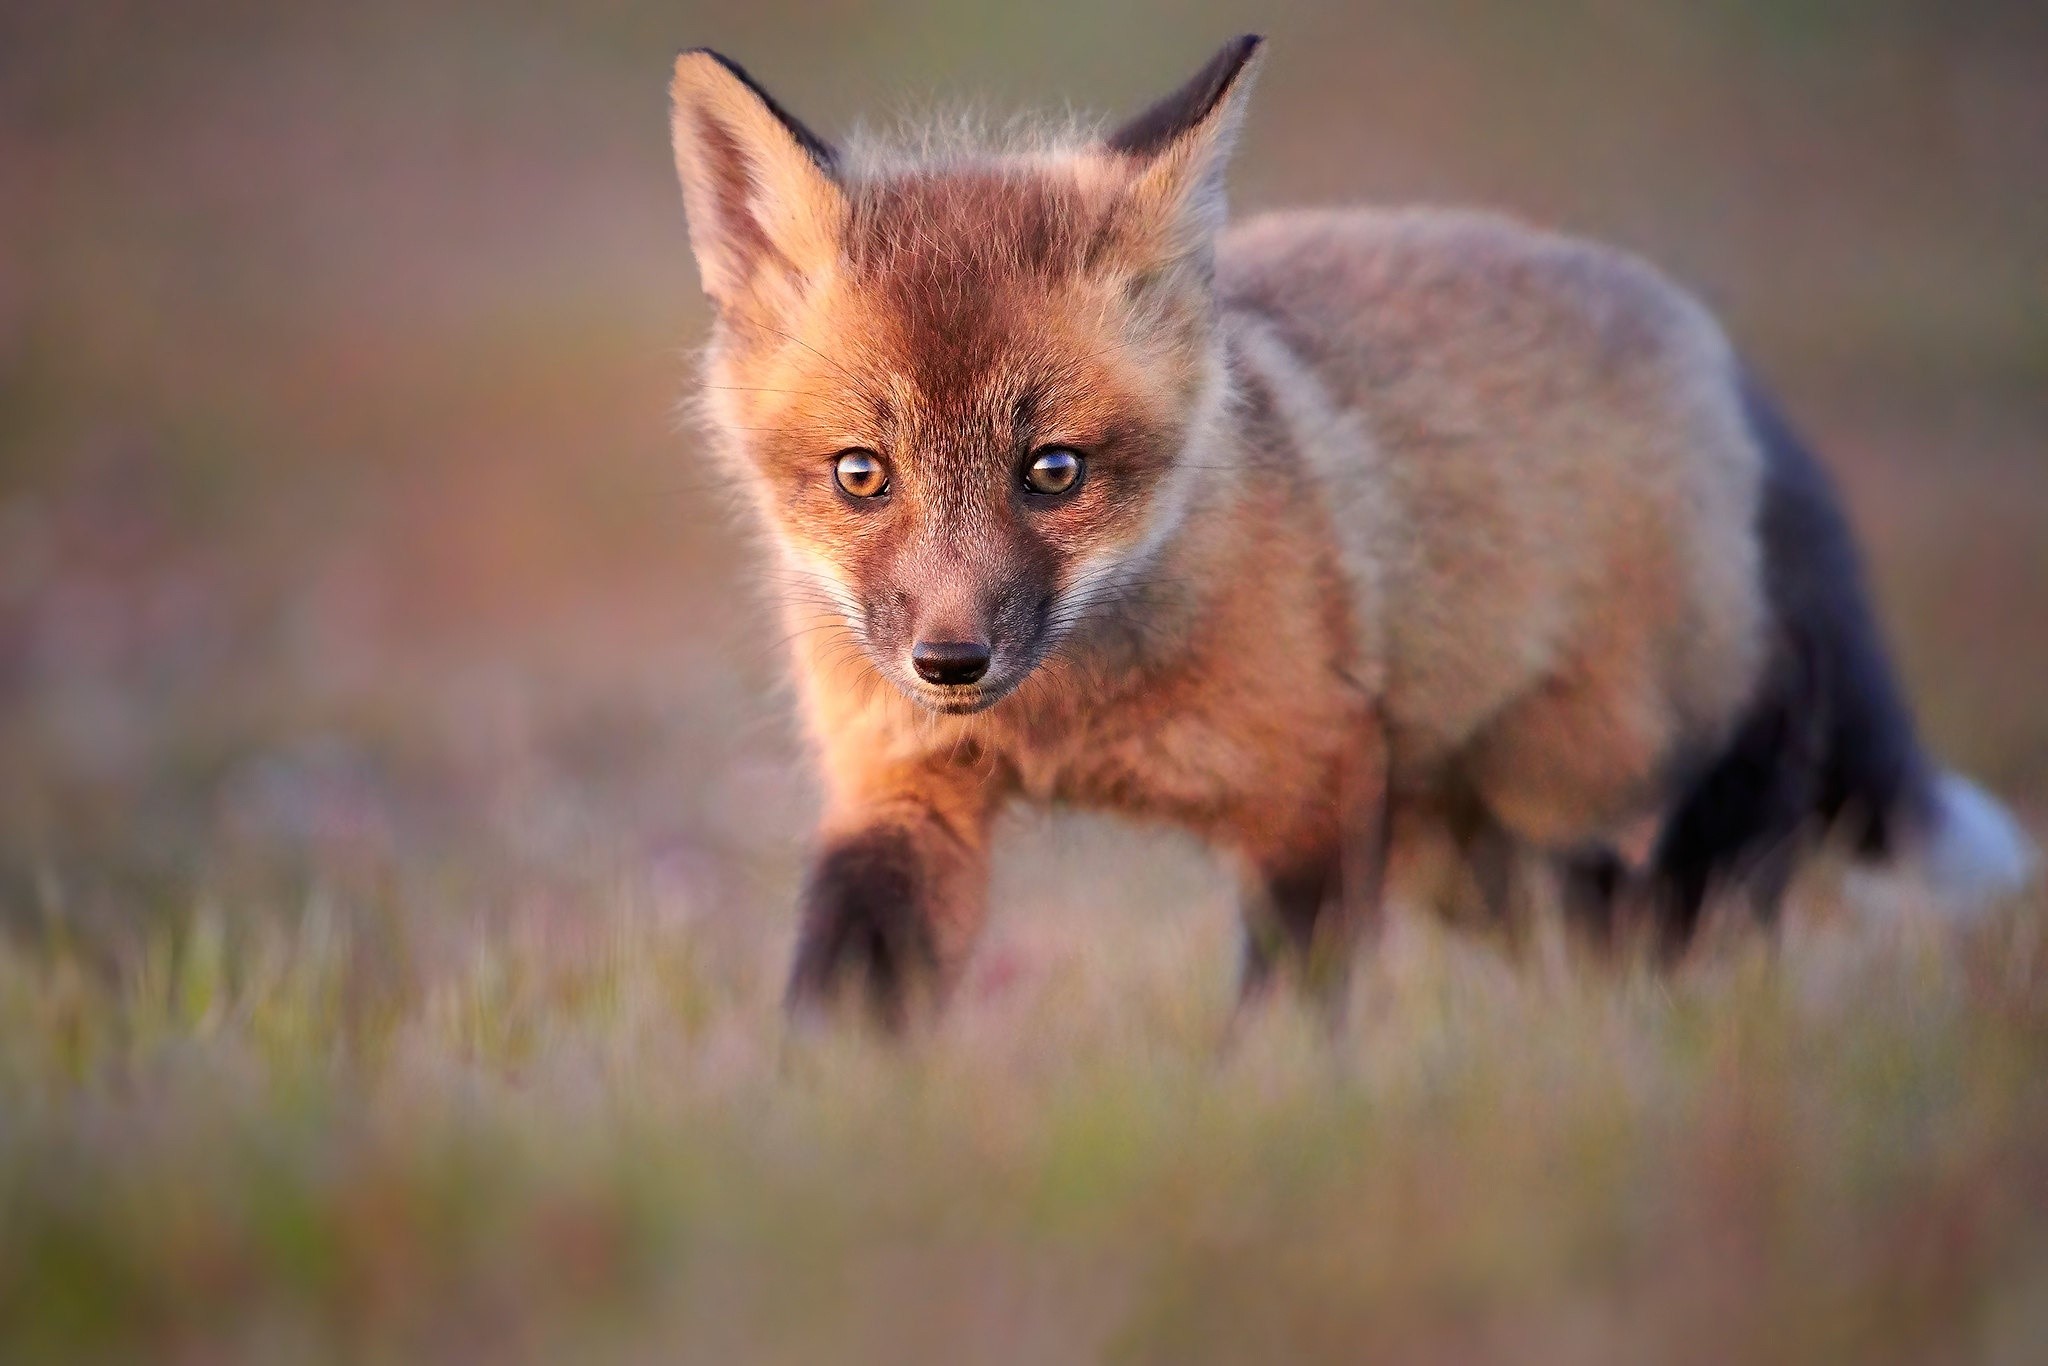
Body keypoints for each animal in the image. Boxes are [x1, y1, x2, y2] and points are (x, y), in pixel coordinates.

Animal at [665, 35, 2038, 1027]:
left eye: (1051, 471)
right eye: (861, 475)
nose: (948, 663)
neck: (1069, 730)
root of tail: (1709, 345)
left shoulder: (1316, 781)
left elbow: (1285, 1014)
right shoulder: (902, 789)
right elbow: (845, 1005)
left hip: (1597, 753)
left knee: (1765, 756)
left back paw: (1695, 945)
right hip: (1460, 844)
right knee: (1589, 911)